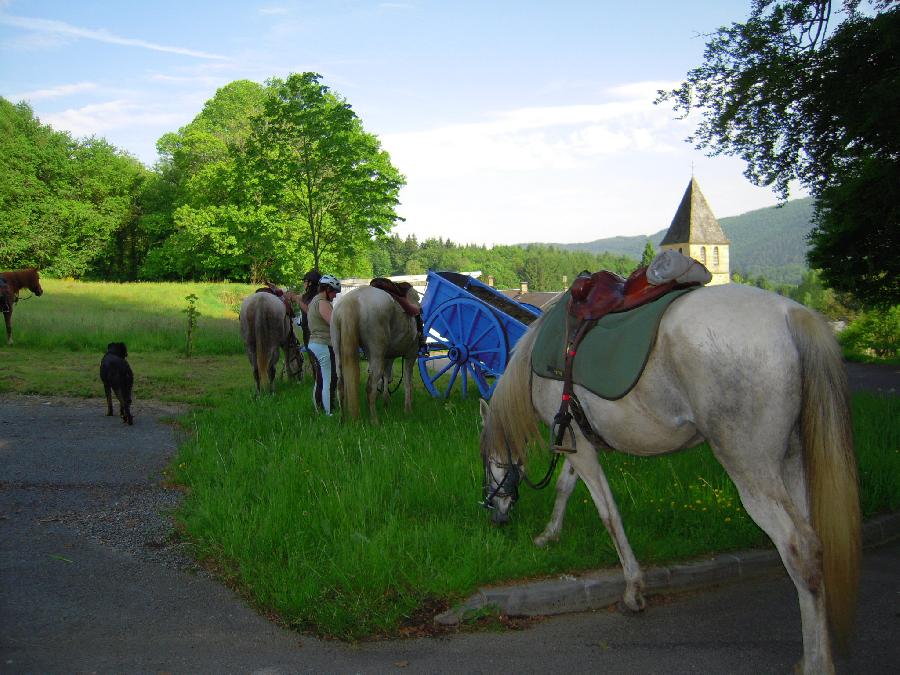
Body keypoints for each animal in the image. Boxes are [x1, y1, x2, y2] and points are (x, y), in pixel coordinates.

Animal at [330, 286, 422, 422]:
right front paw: (408, 409)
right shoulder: (411, 354)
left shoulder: (388, 357)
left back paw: (342, 420)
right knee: (370, 388)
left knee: (340, 385)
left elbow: (387, 377)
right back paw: (374, 421)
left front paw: (386, 404)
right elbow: (407, 381)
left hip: (338, 352)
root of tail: (352, 299)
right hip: (377, 355)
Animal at [482, 286, 860, 675]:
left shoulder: (579, 449)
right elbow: (565, 488)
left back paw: (817, 662)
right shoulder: (581, 442)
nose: (496, 515)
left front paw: (633, 590)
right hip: (793, 462)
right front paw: (550, 535)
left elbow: (608, 514)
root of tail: (790, 314)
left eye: (486, 462)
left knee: (801, 549)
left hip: (754, 472)